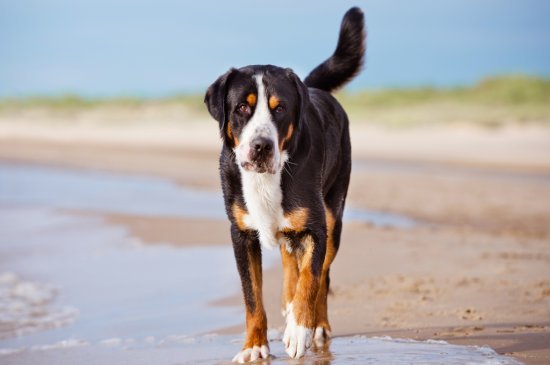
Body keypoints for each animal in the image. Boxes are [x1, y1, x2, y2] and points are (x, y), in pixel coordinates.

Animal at [205, 6, 364, 362]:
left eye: (280, 109)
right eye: (242, 107)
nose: (261, 146)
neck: (266, 178)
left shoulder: (317, 228)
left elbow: (311, 280)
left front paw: (299, 331)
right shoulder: (241, 235)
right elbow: (252, 299)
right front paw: (254, 346)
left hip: (334, 216)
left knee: (321, 276)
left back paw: (316, 325)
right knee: (291, 262)